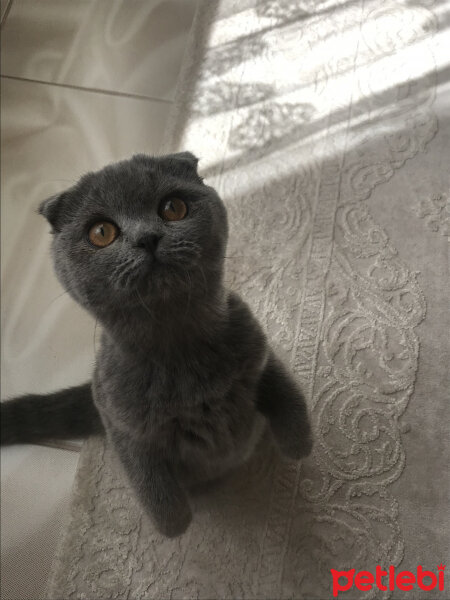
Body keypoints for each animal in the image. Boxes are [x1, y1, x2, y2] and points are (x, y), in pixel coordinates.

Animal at [0, 152, 312, 536]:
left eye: (172, 208)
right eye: (101, 232)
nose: (147, 237)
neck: (179, 348)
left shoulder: (256, 350)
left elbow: (286, 392)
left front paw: (299, 445)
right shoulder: (122, 423)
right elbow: (147, 477)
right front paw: (174, 523)